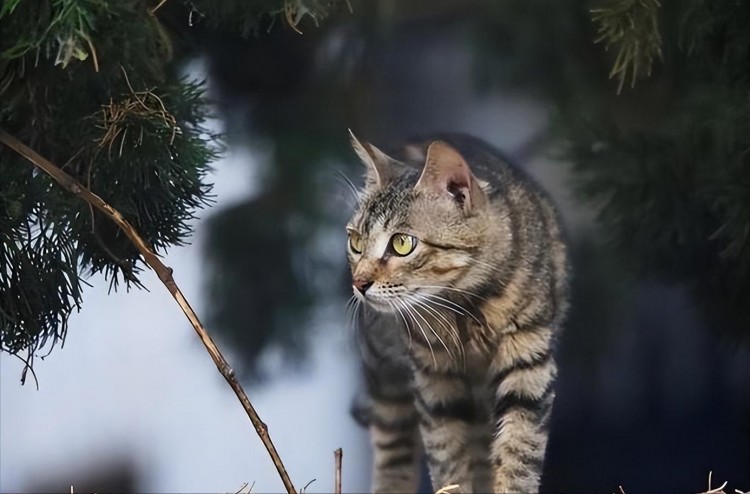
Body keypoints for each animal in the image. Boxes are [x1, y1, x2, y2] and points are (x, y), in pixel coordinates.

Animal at [346, 129, 568, 492]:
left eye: (402, 244)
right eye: (356, 243)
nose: (359, 282)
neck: (467, 306)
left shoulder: (528, 365)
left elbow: (519, 454)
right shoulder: (435, 382)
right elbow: (448, 459)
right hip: (386, 374)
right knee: (394, 448)